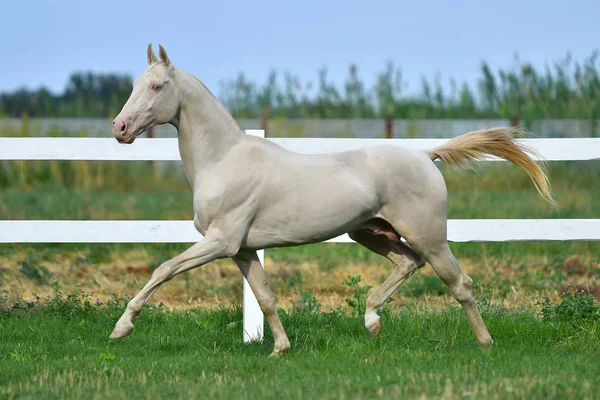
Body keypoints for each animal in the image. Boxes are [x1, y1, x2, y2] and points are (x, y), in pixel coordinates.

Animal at [109, 43, 552, 356]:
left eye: (156, 86)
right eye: (132, 86)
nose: (120, 128)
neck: (223, 159)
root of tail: (426, 155)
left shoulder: (220, 241)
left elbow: (163, 269)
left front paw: (121, 328)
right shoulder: (242, 249)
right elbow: (265, 298)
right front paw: (280, 349)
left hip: (429, 237)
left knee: (459, 283)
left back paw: (485, 344)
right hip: (369, 233)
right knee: (409, 263)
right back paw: (371, 320)